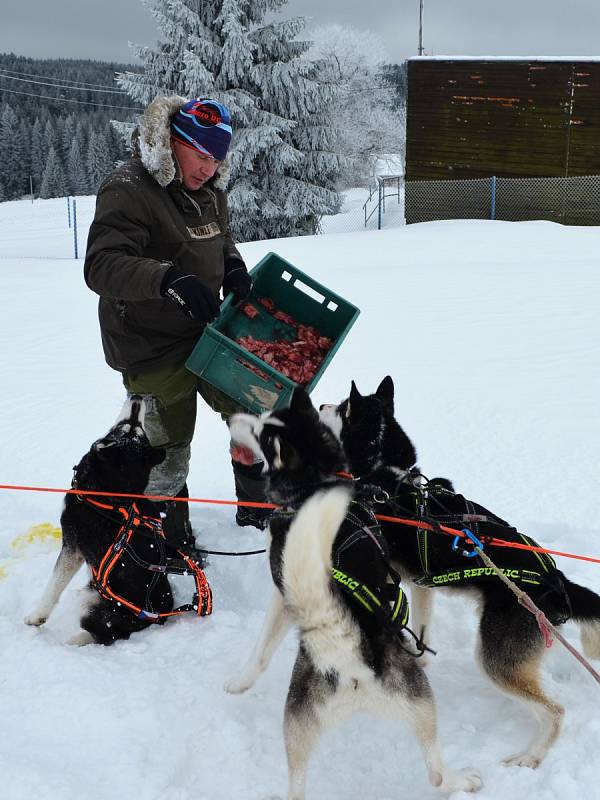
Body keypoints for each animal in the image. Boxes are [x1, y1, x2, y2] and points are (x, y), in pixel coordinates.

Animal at [223, 384, 480, 796]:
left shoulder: (283, 591)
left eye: (260, 430)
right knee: (433, 772)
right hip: (413, 704)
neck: (314, 483)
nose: (233, 417)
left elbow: (261, 648)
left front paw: (241, 680)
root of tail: (348, 651)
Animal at [318, 376, 600, 768]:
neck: (388, 478)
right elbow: (421, 629)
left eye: (344, 407)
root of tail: (557, 580)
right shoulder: (420, 583)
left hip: (496, 660)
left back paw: (529, 757)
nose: (320, 405)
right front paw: (420, 658)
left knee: (554, 712)